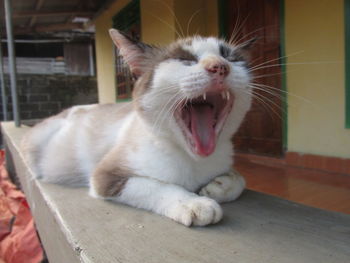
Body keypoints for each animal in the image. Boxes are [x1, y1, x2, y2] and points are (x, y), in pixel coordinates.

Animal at [21, 29, 252, 227]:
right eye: (185, 60)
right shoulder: (105, 177)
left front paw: (219, 186)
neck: (194, 160)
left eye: (232, 59)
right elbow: (158, 186)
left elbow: (241, 179)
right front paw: (195, 203)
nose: (220, 66)